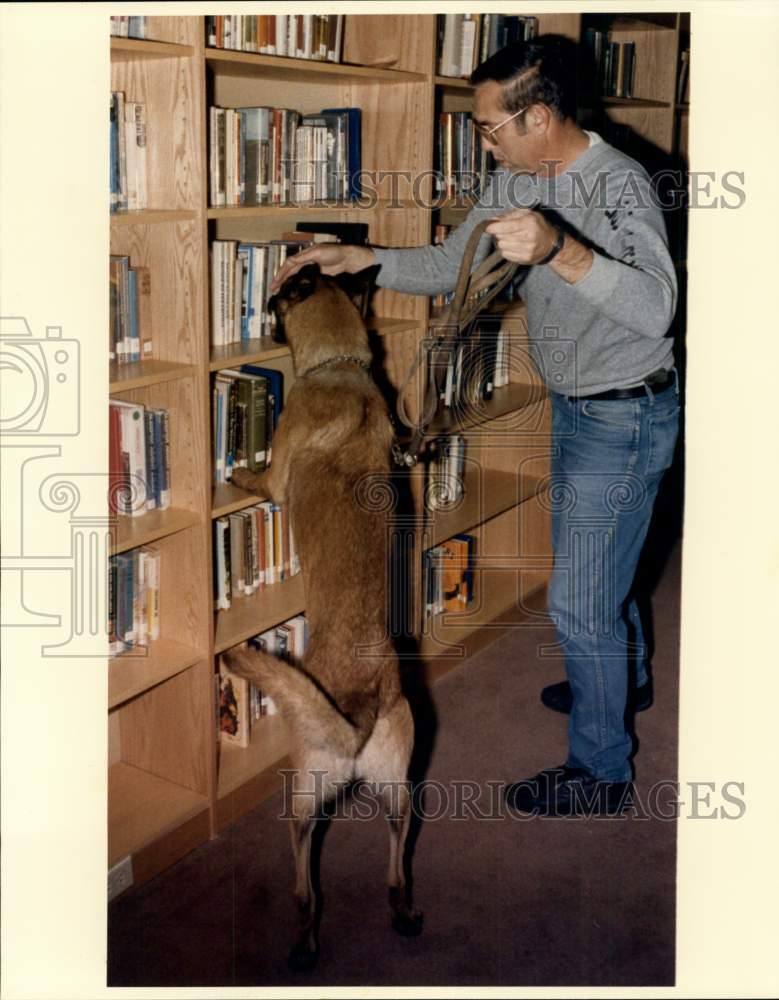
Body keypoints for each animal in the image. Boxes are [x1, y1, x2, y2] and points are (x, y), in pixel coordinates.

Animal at [222, 264, 424, 968]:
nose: (268, 298)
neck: (340, 367)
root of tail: (359, 710)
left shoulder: (274, 479)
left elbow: (256, 479)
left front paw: (233, 476)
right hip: (401, 795)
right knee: (396, 865)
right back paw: (402, 915)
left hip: (301, 798)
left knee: (306, 883)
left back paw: (305, 942)